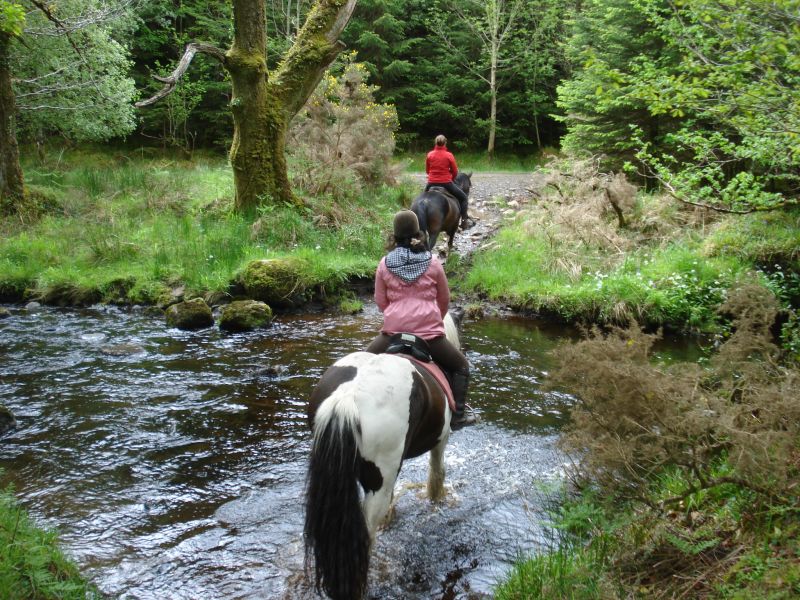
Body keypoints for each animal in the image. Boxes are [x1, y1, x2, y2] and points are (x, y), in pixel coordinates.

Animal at [304, 314, 460, 600]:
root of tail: (347, 397)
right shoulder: (441, 439)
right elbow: (437, 473)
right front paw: (436, 501)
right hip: (379, 479)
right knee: (364, 537)